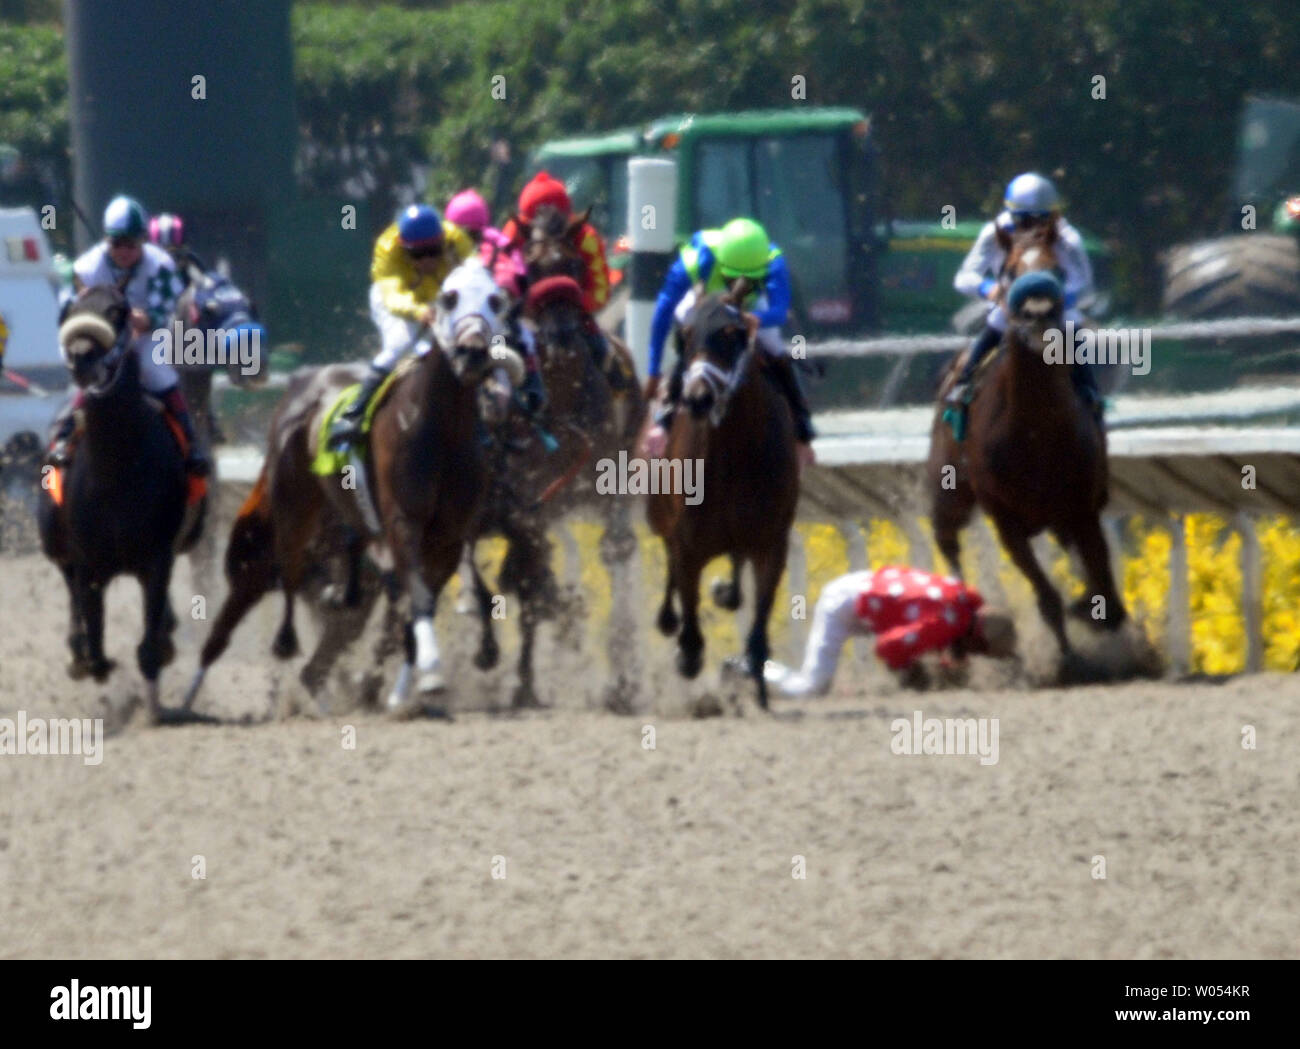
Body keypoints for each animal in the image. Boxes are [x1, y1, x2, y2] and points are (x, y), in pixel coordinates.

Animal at [183, 257, 517, 712]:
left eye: (496, 300)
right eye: (449, 298)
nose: (472, 352)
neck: (441, 428)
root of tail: (301, 382)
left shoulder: (449, 538)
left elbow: (420, 606)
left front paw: (406, 690)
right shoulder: (402, 522)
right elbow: (418, 596)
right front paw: (430, 673)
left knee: (318, 654)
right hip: (284, 522)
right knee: (263, 594)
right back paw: (192, 694)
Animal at [644, 291, 795, 712]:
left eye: (733, 335)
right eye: (685, 335)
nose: (697, 398)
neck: (732, 454)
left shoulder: (772, 541)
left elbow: (759, 620)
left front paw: (759, 686)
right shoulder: (687, 543)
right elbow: (688, 605)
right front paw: (688, 655)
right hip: (659, 514)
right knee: (672, 571)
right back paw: (671, 619)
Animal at [930, 226, 1123, 675]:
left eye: (1056, 268)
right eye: (1011, 269)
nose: (1037, 313)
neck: (1034, 430)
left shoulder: (1081, 508)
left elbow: (1103, 590)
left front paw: (1090, 614)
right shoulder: (1007, 522)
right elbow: (1047, 597)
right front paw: (1068, 658)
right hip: (949, 490)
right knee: (947, 541)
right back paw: (958, 642)